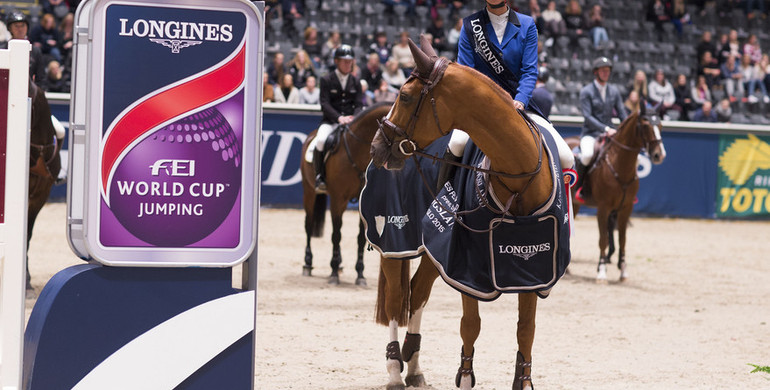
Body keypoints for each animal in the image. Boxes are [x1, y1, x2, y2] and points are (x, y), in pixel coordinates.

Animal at [298, 102, 392, 284]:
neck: (357, 152)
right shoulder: (338, 199)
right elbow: (336, 235)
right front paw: (333, 272)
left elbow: (361, 238)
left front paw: (360, 274)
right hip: (308, 191)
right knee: (308, 225)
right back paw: (308, 263)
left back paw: (340, 265)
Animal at [368, 36, 560, 390]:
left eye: (404, 96)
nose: (378, 147)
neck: (520, 180)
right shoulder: (467, 269)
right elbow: (470, 325)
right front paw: (466, 377)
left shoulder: (535, 269)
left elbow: (526, 330)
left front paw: (523, 378)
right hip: (394, 242)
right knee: (395, 300)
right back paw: (395, 369)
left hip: (432, 252)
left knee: (417, 293)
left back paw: (413, 366)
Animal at [564, 108, 664, 282]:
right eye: (645, 125)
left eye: (660, 125)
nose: (659, 155)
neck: (619, 165)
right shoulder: (603, 208)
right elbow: (603, 239)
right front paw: (601, 271)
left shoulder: (626, 208)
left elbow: (623, 239)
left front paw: (623, 270)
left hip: (574, 205)